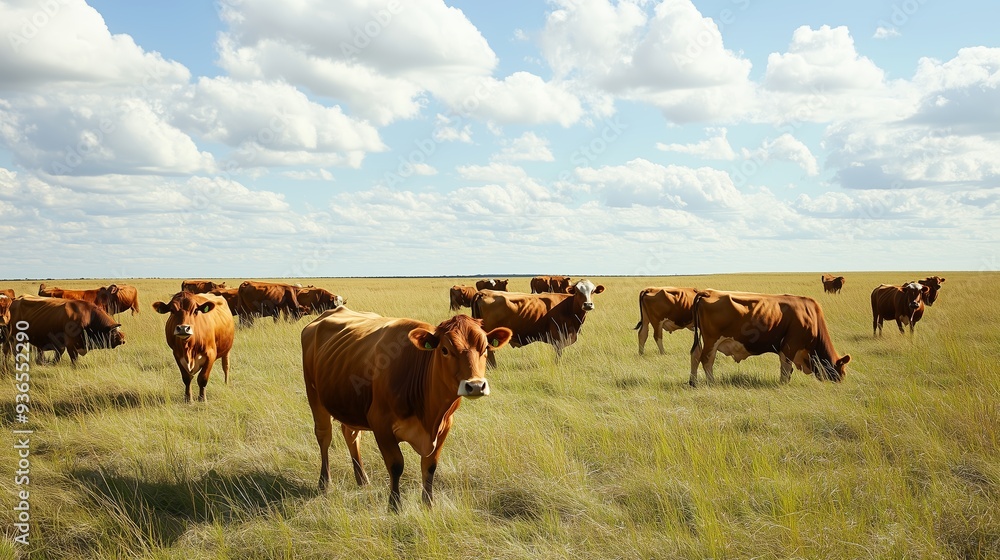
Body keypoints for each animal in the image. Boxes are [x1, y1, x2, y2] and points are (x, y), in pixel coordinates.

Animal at [301, 306, 512, 511]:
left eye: (485, 348)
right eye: (445, 350)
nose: (475, 386)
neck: (430, 417)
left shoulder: (445, 426)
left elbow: (430, 466)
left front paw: (428, 504)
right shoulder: (381, 424)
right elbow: (396, 465)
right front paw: (394, 506)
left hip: (350, 404)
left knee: (351, 435)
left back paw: (362, 480)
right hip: (315, 396)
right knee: (324, 437)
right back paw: (324, 483)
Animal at [472, 278, 605, 364]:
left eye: (592, 291)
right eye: (577, 291)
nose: (588, 304)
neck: (567, 307)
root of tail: (483, 292)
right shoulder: (558, 336)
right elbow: (558, 355)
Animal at [689, 290, 850, 387]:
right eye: (842, 371)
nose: (840, 384)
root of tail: (708, 292)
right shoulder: (790, 345)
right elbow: (786, 368)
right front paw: (783, 385)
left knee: (695, 355)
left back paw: (693, 382)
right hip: (712, 340)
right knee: (706, 359)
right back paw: (711, 382)